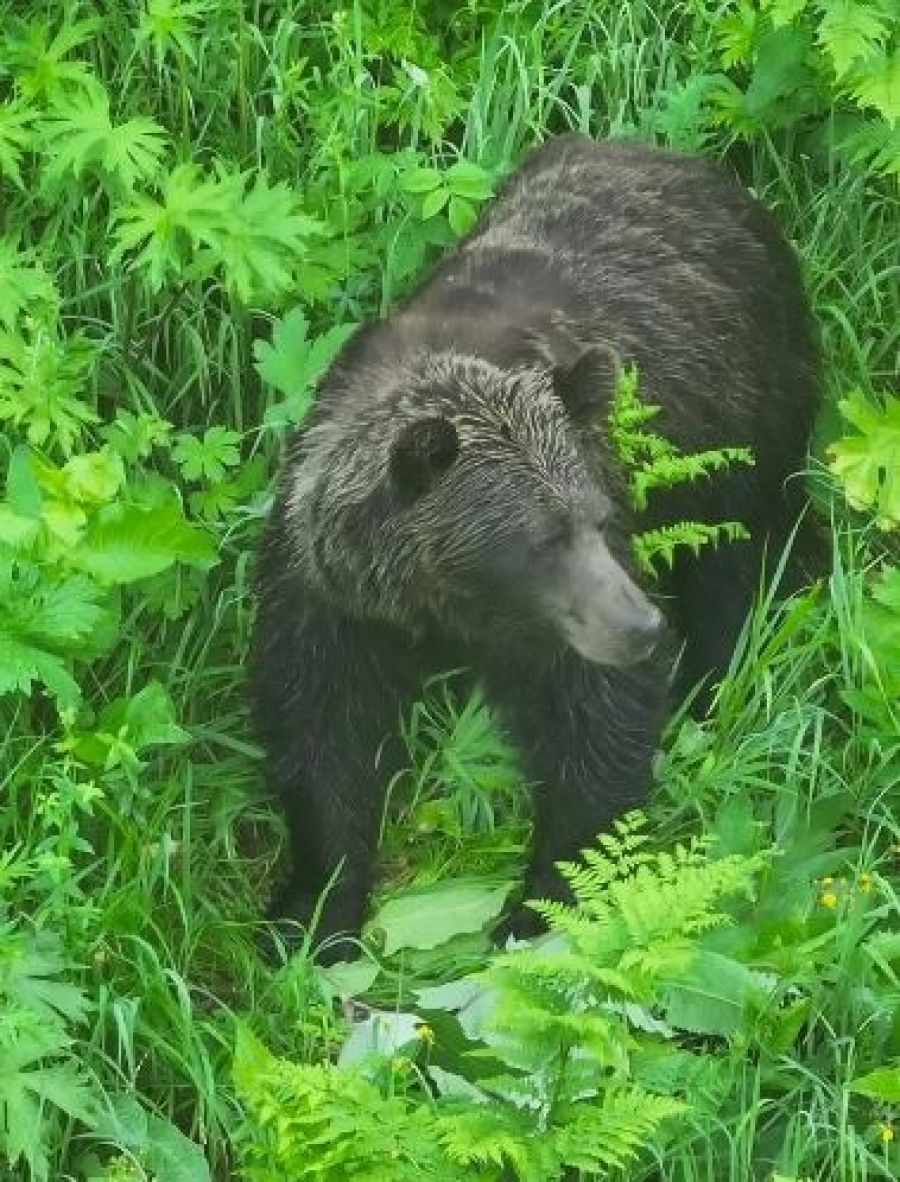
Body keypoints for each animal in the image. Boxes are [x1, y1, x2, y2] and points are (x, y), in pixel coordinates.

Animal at [249, 131, 818, 959]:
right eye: (541, 539)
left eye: (594, 519)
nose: (641, 625)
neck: (440, 602)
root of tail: (686, 163)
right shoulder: (329, 596)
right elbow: (321, 732)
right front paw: (315, 911)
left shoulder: (567, 607)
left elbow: (597, 724)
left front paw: (540, 904)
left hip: (746, 426)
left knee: (742, 567)